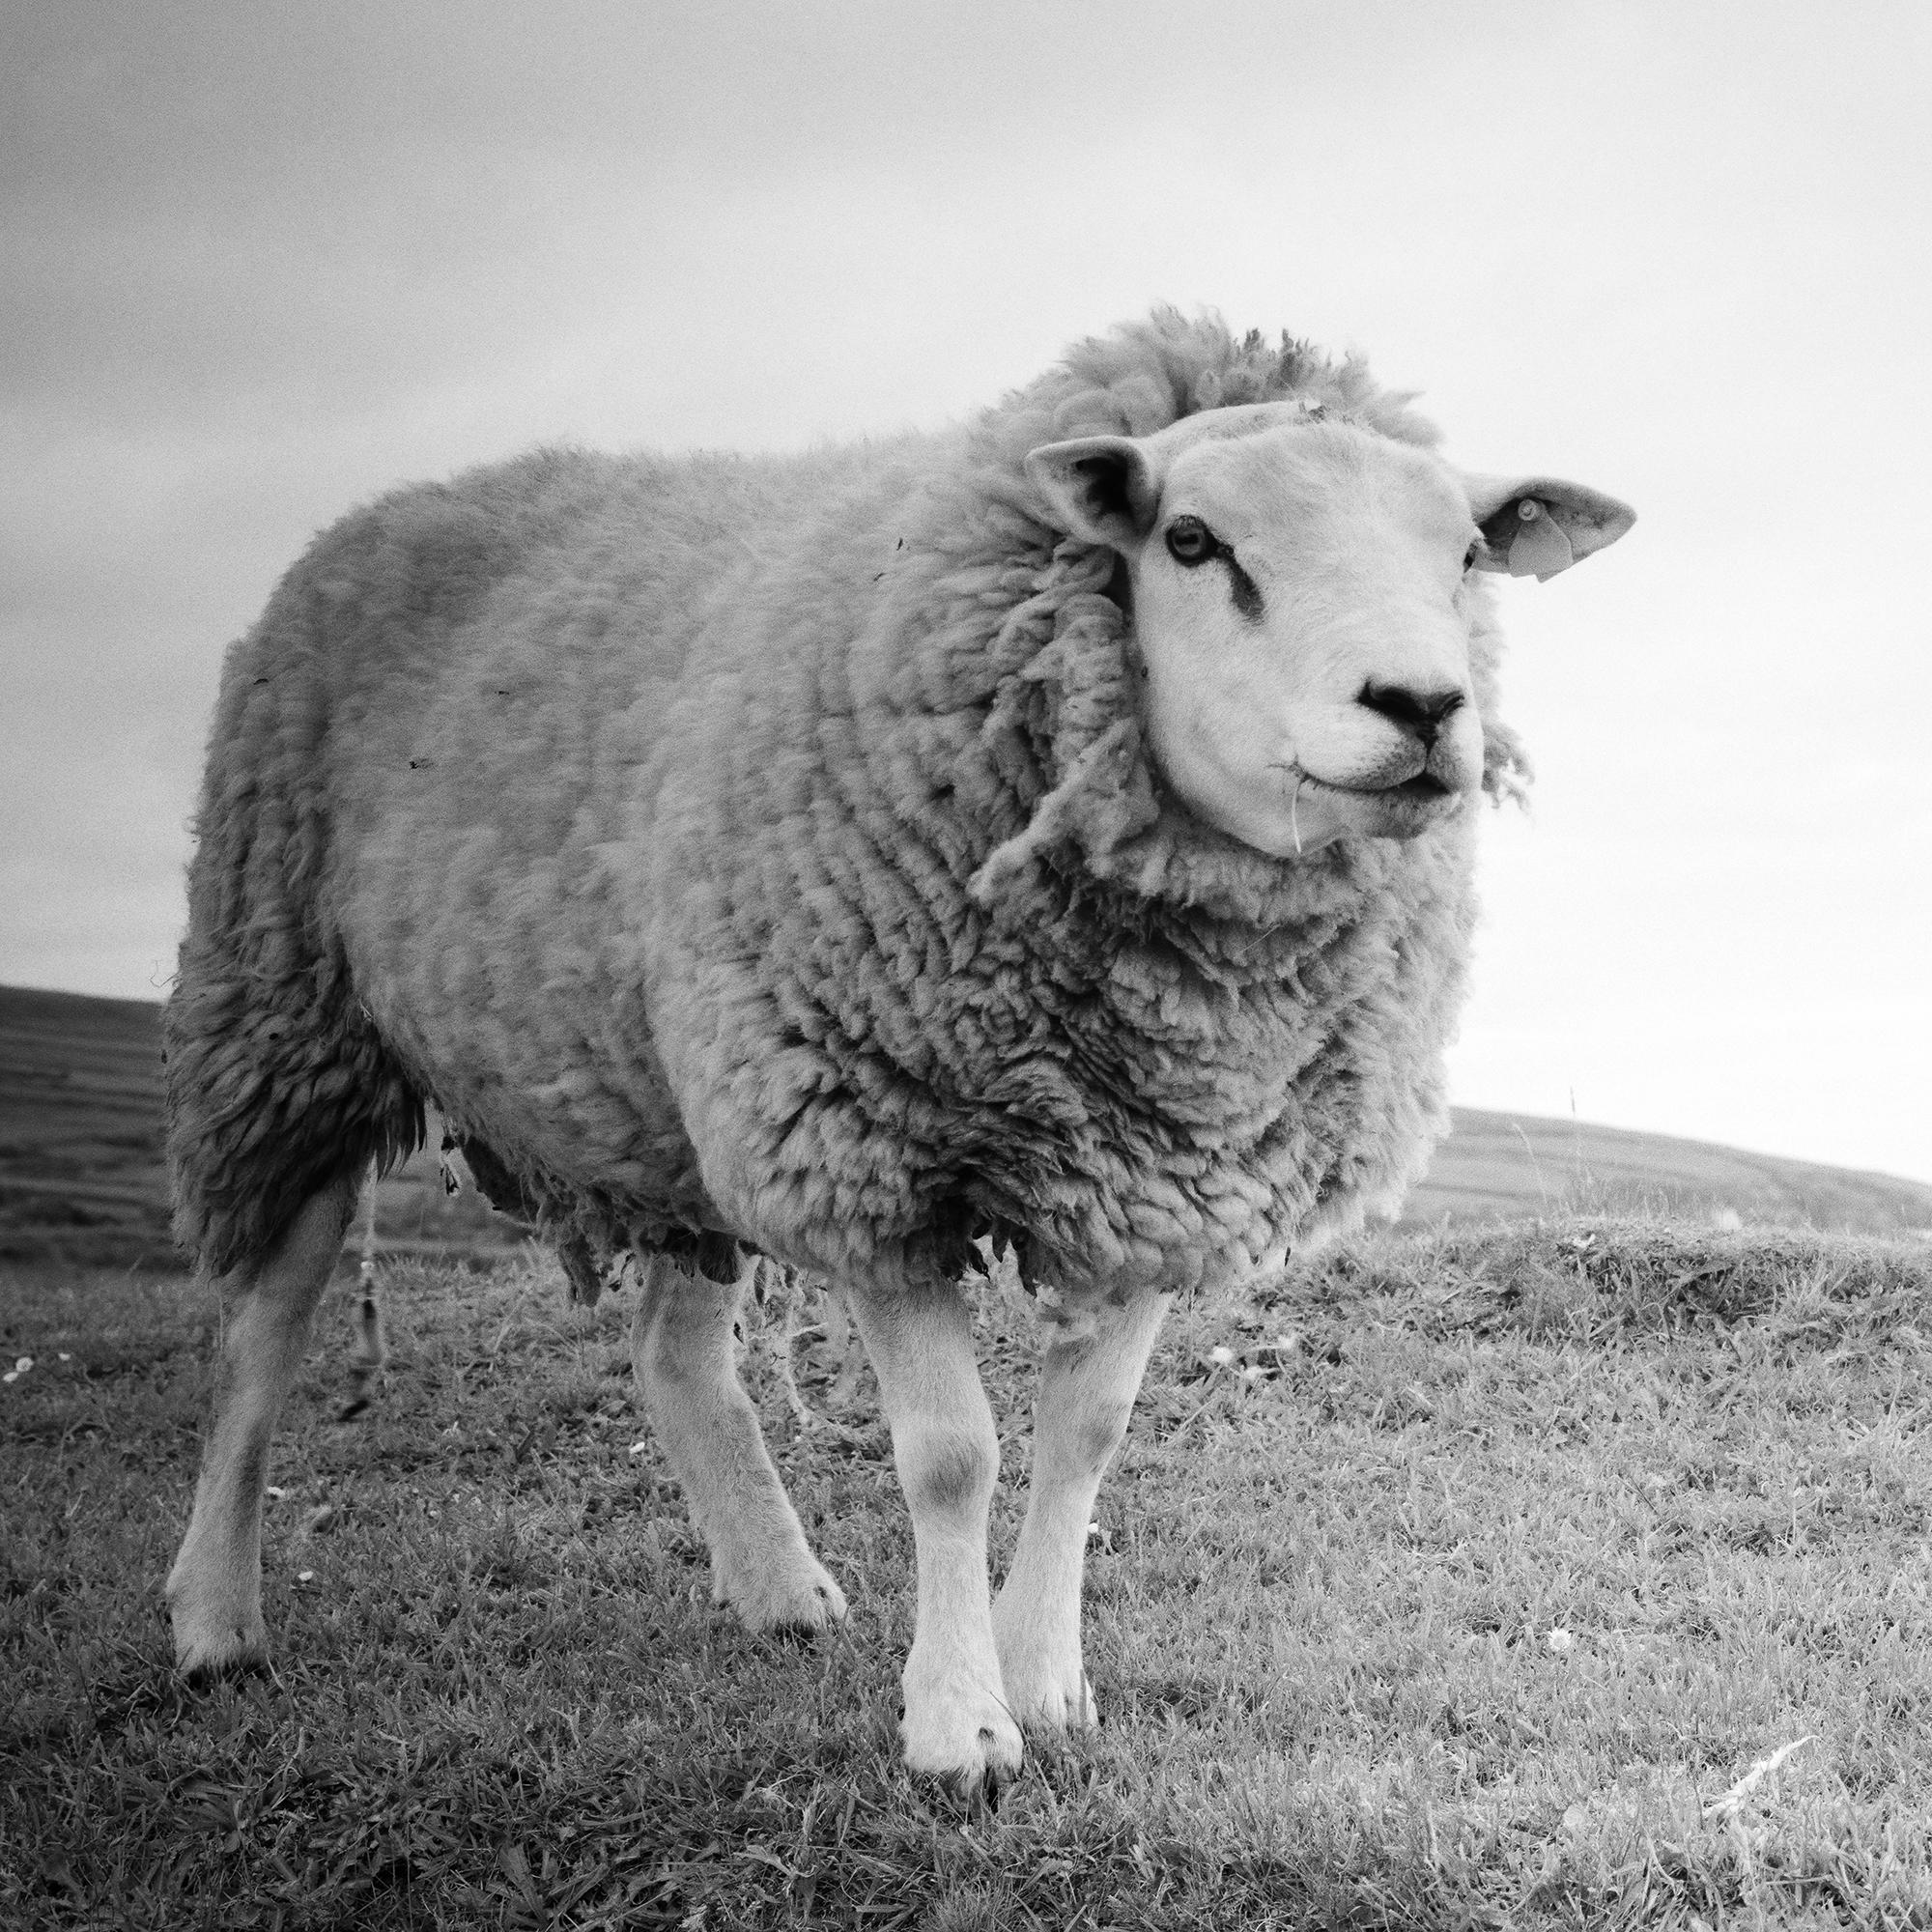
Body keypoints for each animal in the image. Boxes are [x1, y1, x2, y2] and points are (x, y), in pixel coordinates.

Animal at [161, 308, 1634, 1790]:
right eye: (1191, 540)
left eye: (1466, 552)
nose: (1422, 706)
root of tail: (378, 509)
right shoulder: (870, 1149)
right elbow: (948, 1456)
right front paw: (960, 1725)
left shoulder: (1158, 1167)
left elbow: (1087, 1434)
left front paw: (1048, 1681)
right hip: (287, 1010)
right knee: (259, 1336)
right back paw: (214, 1621)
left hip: (679, 1089)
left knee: (674, 1357)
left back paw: (775, 1589)